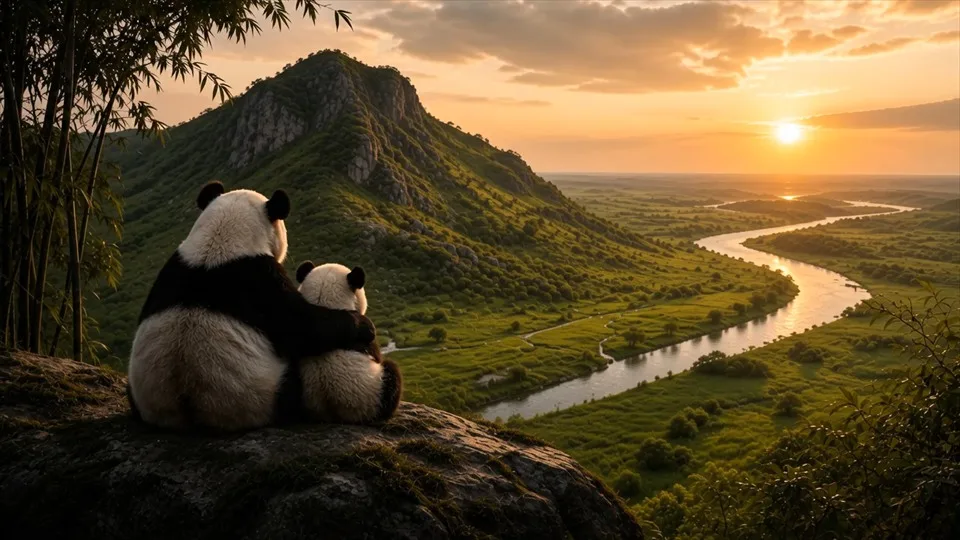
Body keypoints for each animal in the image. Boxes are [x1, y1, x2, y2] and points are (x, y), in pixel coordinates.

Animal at [127, 181, 375, 432]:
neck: (219, 239)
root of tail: (188, 414)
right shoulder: (261, 280)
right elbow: (303, 328)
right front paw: (364, 326)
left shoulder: (172, 269)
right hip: (264, 394)